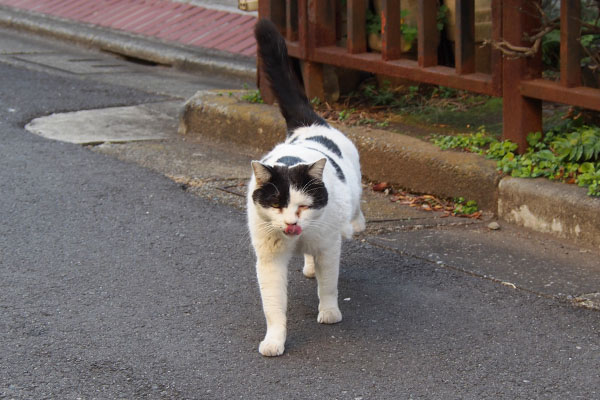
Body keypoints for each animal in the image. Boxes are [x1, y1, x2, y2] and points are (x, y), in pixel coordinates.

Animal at [248, 19, 366, 356]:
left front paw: (329, 313)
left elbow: (329, 285)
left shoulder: (327, 246)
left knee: (355, 211)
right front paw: (274, 340)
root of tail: (309, 124)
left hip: (352, 193)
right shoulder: (270, 258)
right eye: (276, 205)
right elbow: (273, 305)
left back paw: (353, 225)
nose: (291, 223)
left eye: (303, 205)